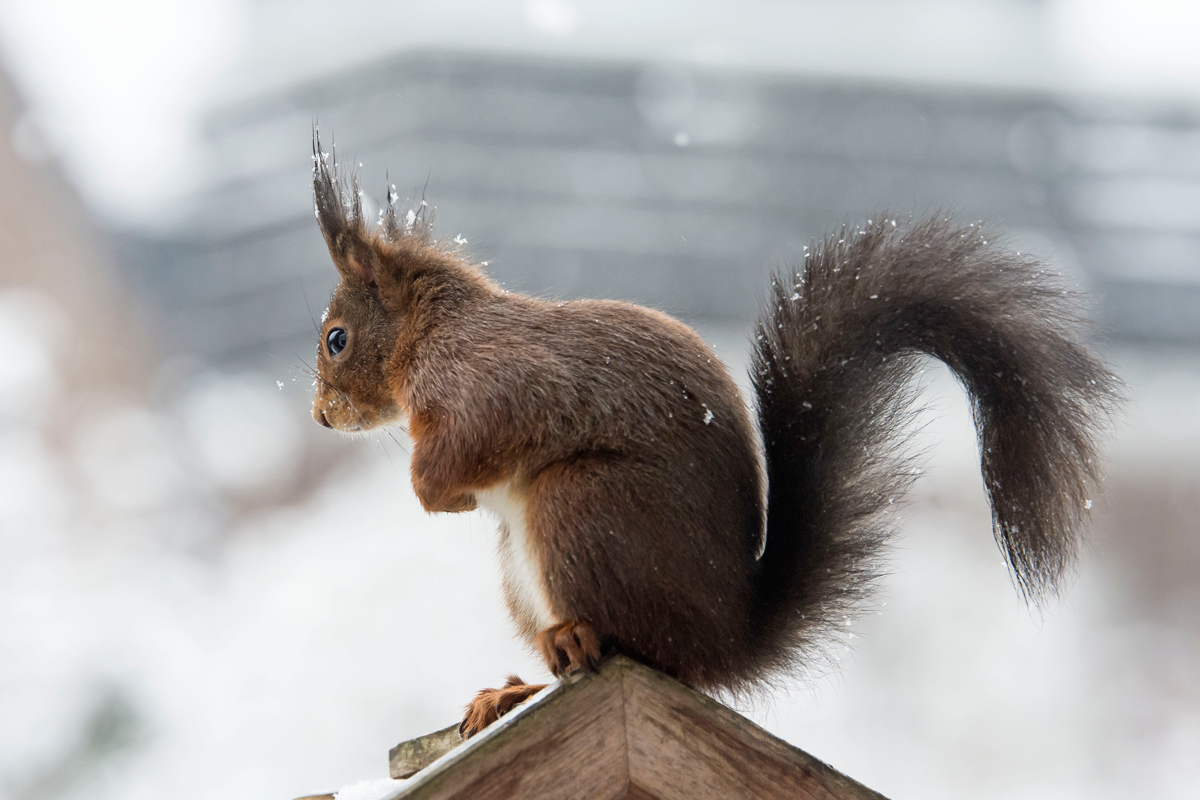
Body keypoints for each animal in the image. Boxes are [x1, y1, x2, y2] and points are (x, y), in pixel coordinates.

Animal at [308, 136, 1119, 738]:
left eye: (337, 339)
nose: (320, 417)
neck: (433, 335)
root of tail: (728, 640)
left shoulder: (493, 385)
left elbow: (468, 446)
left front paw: (432, 494)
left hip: (581, 505)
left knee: (638, 649)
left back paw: (572, 643)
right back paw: (510, 693)